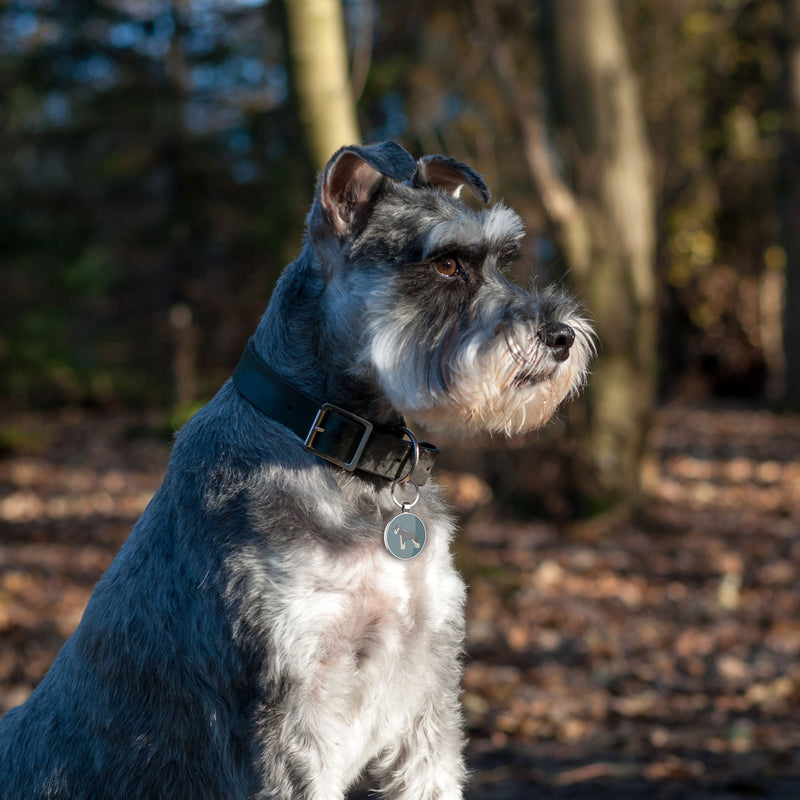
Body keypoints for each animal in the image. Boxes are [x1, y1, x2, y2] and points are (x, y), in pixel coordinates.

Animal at [0, 141, 592, 796]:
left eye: (503, 261)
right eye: (445, 265)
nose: (562, 336)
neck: (338, 450)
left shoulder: (428, 698)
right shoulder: (294, 716)